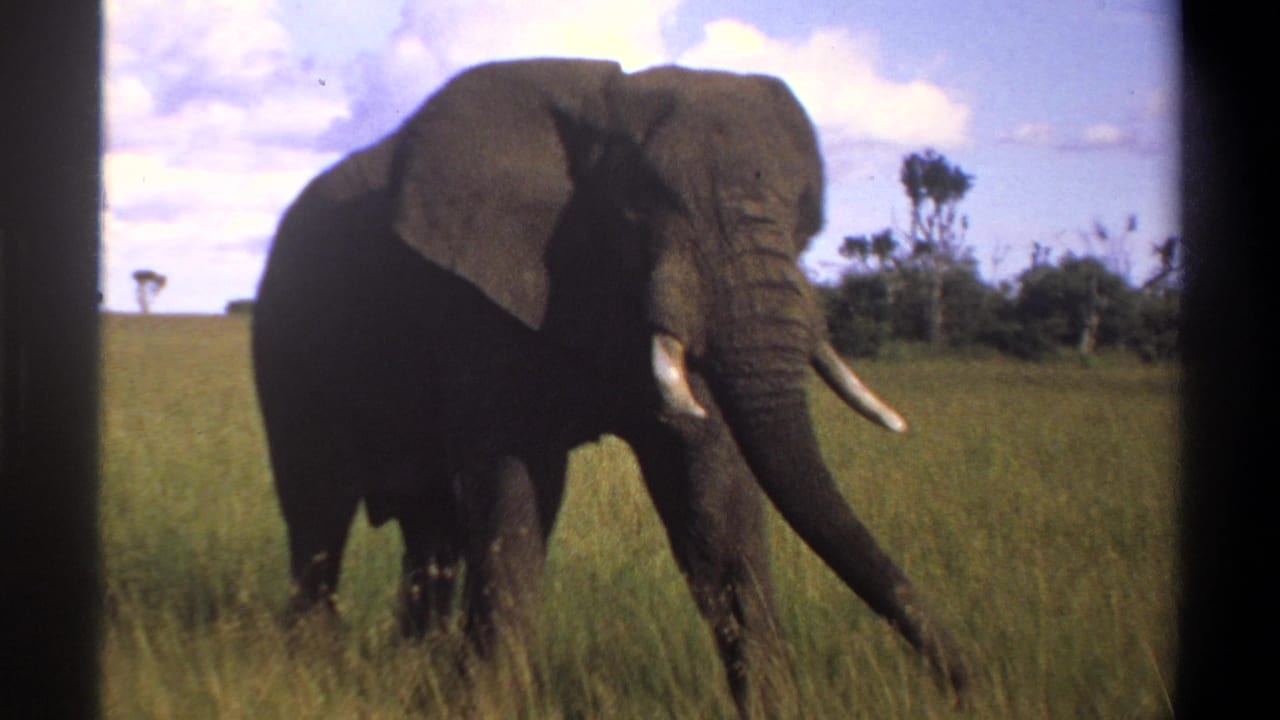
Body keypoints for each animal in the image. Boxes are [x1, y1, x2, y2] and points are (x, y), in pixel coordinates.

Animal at [252, 58, 969, 715]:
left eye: (806, 224)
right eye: (637, 212)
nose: (964, 682)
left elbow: (713, 489)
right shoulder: (475, 299)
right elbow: (517, 487)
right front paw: (486, 707)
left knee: (431, 529)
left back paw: (411, 675)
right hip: (286, 337)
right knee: (318, 510)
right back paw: (312, 674)